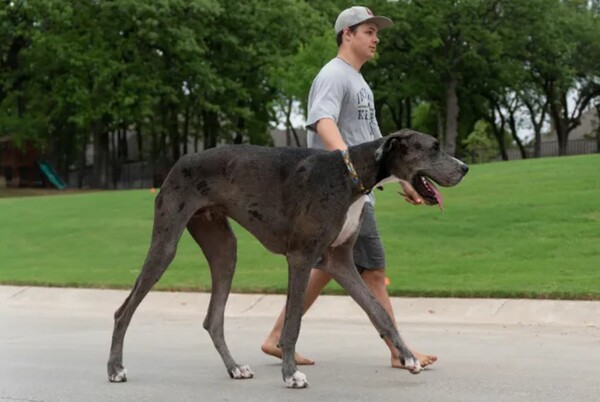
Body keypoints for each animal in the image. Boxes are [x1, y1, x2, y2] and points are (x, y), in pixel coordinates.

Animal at [108, 128, 468, 386]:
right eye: (434, 147)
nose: (465, 168)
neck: (351, 176)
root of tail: (180, 161)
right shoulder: (301, 257)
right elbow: (293, 321)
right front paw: (290, 374)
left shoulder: (339, 262)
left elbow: (378, 311)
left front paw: (408, 358)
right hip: (166, 243)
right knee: (124, 309)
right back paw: (115, 369)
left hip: (224, 249)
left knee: (213, 318)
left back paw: (235, 368)